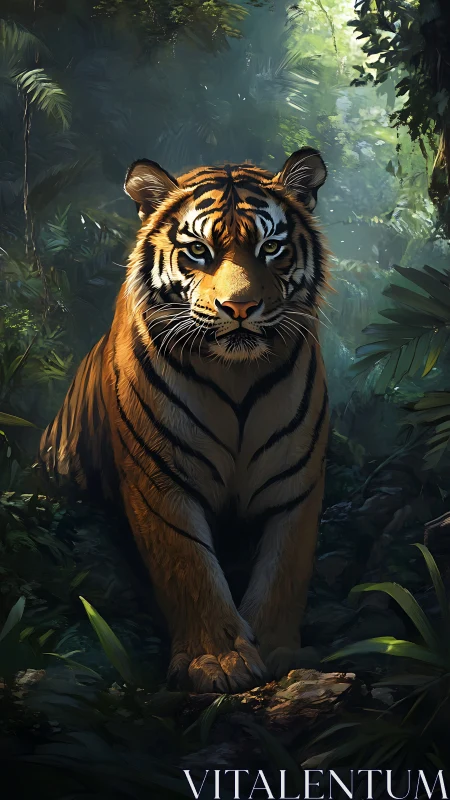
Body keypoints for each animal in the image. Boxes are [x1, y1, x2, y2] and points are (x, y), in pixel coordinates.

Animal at [38, 147, 330, 693]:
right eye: (198, 250)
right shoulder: (160, 479)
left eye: (271, 247)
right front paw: (216, 662)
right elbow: (188, 564)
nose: (239, 307)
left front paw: (278, 652)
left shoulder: (295, 482)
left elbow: (285, 570)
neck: (236, 377)